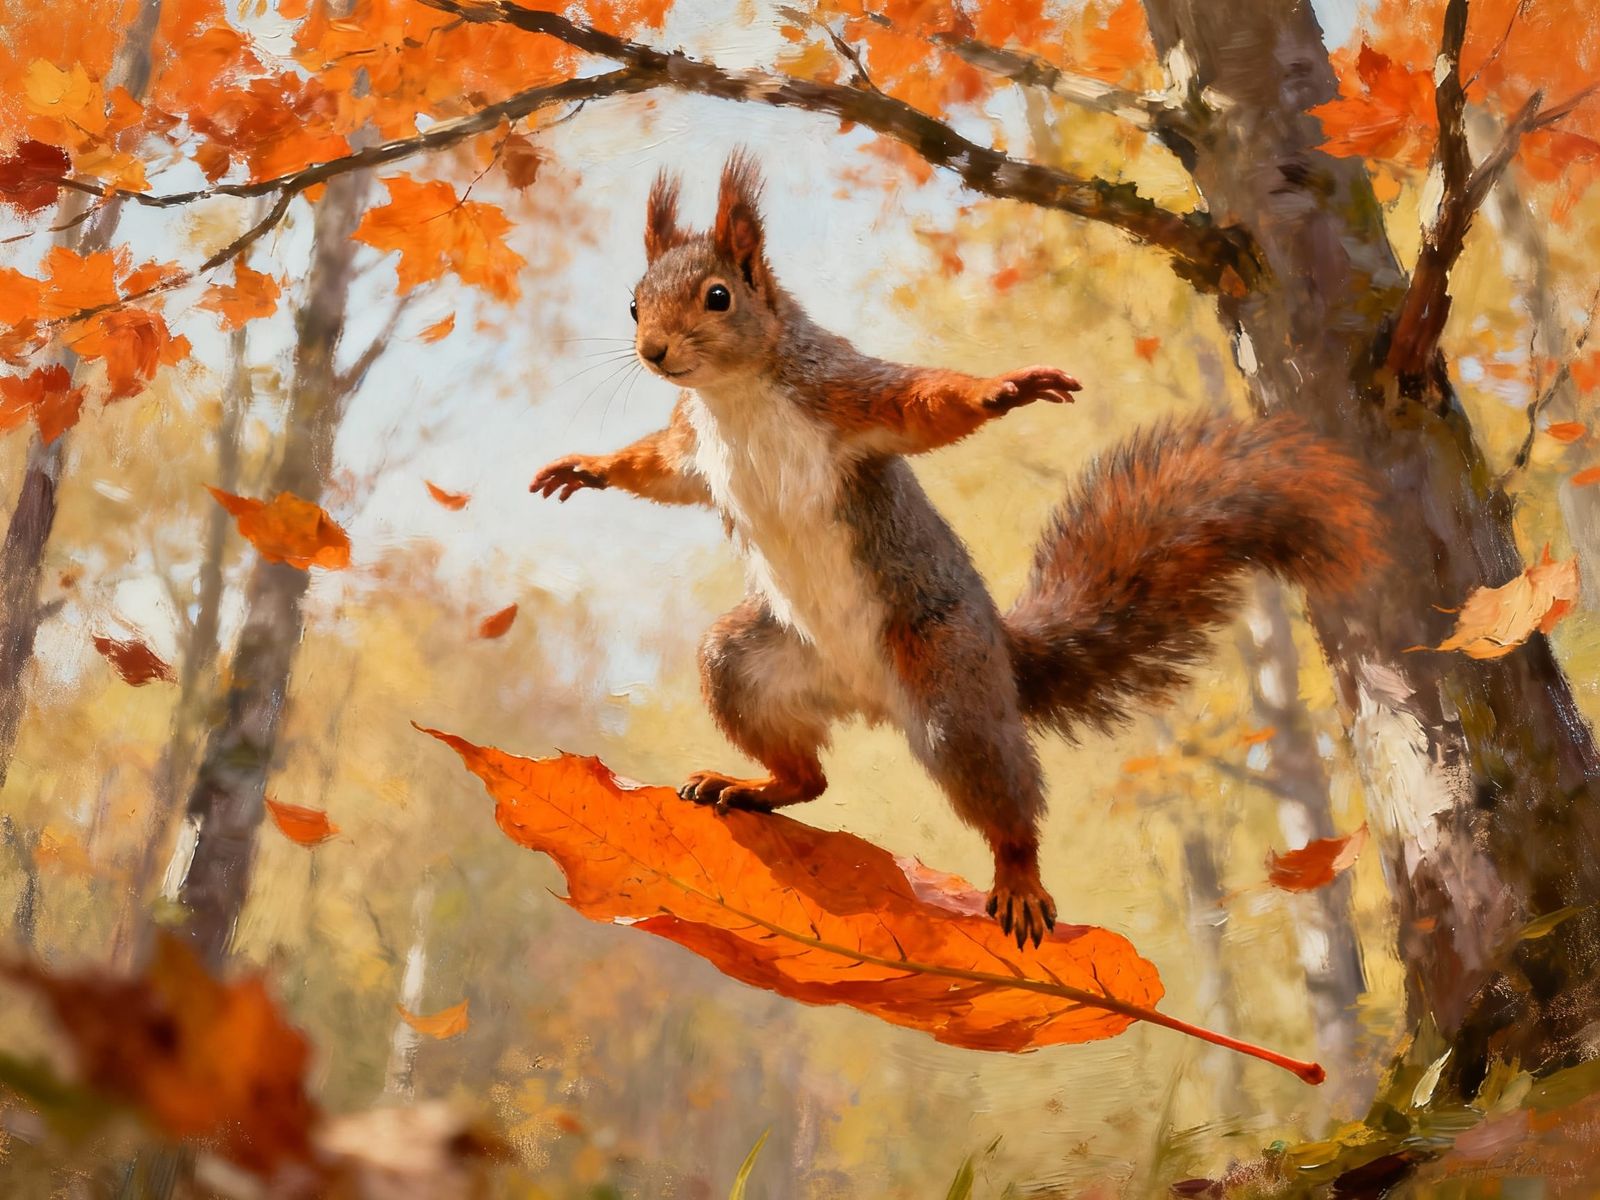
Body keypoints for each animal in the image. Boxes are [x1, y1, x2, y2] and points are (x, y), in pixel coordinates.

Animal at [531, 151, 1380, 949]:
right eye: (634, 302)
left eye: (718, 296)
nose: (653, 350)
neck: (734, 393)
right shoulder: (691, 444)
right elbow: (658, 469)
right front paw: (586, 468)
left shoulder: (848, 395)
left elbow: (926, 405)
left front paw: (1006, 390)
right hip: (751, 666)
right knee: (808, 777)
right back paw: (750, 786)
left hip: (950, 687)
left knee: (1004, 801)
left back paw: (1020, 878)